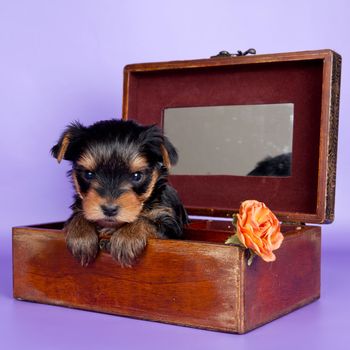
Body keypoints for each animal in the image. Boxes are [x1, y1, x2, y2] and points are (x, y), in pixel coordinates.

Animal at [50, 119, 189, 266]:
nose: (109, 209)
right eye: (88, 174)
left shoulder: (170, 224)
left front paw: (127, 237)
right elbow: (78, 215)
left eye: (137, 176)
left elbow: (146, 221)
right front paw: (81, 235)